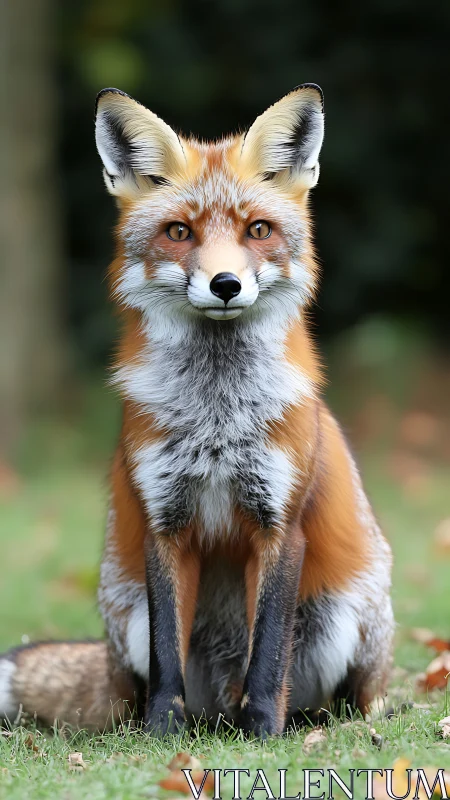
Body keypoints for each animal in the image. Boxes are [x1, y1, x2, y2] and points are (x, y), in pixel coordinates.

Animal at [0, 84, 394, 737]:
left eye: (258, 229)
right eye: (179, 232)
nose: (226, 284)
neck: (217, 419)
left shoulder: (278, 523)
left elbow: (268, 649)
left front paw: (262, 731)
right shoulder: (165, 521)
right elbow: (168, 653)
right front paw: (162, 732)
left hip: (344, 617)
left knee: (344, 695)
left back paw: (313, 721)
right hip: (128, 619)